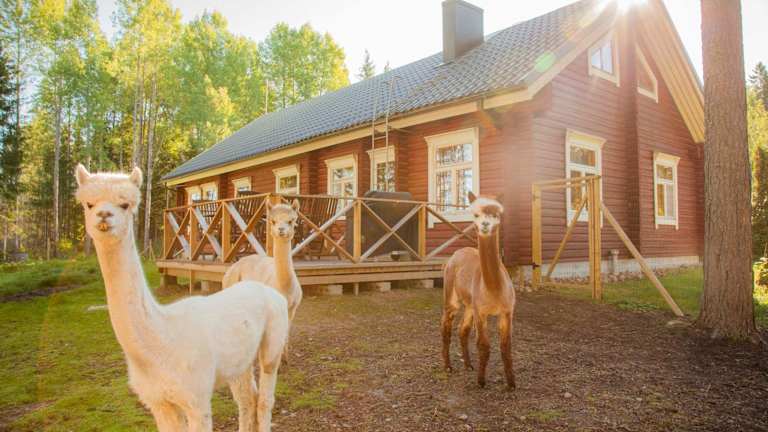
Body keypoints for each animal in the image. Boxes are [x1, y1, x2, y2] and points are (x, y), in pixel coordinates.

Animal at [75, 164, 288, 432]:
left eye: (125, 204)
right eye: (89, 204)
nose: (104, 215)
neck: (161, 340)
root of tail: (268, 290)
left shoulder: (197, 397)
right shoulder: (159, 401)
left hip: (273, 344)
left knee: (265, 398)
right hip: (240, 358)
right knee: (247, 398)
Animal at [222, 199, 303, 360]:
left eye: (291, 221)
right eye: (273, 221)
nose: (281, 229)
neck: (283, 288)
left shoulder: (292, 308)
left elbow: (286, 332)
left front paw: (285, 358)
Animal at [441, 192, 516, 389]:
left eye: (496, 214)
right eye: (475, 214)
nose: (485, 225)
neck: (493, 290)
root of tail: (457, 252)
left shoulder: (507, 311)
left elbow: (506, 346)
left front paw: (511, 383)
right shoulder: (481, 312)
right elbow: (483, 345)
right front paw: (481, 381)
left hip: (469, 305)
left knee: (462, 330)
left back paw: (468, 365)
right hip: (451, 293)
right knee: (446, 326)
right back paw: (448, 367)